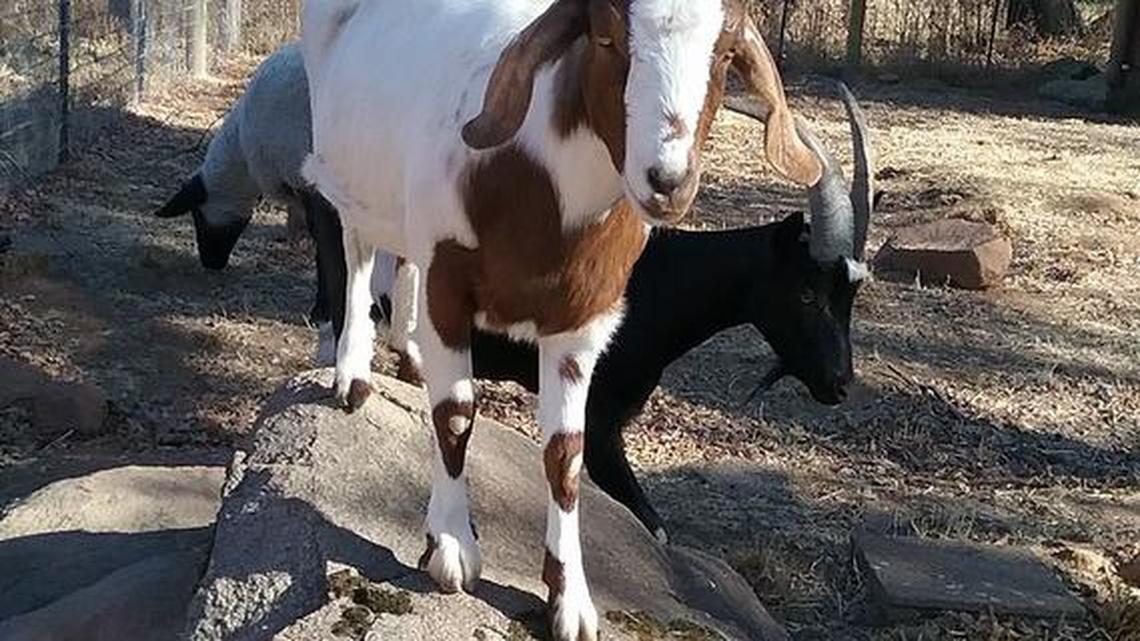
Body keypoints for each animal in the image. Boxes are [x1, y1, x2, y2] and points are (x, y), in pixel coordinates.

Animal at [301, 2, 821, 639]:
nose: (667, 181)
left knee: (402, 257)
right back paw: (353, 373)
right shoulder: (450, 280)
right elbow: (455, 414)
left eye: (724, 54)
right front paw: (450, 548)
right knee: (356, 249)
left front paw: (570, 599)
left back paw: (410, 353)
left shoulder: (582, 321)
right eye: (606, 38)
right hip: (345, 165)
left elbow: (567, 453)